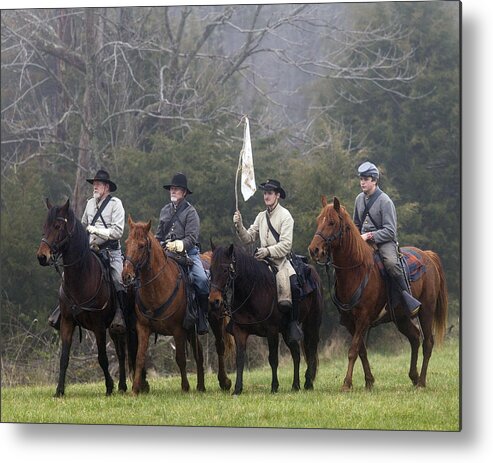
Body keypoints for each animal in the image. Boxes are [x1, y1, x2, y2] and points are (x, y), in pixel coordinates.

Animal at [37, 198, 129, 396]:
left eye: (57, 226)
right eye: (44, 225)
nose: (42, 256)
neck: (81, 277)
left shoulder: (99, 326)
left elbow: (102, 358)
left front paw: (109, 387)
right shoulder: (67, 322)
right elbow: (64, 357)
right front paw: (59, 390)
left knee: (122, 353)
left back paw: (123, 386)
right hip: (113, 329)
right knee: (120, 352)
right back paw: (122, 386)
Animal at [122, 218, 205, 396]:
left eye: (141, 245)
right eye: (127, 242)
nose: (126, 276)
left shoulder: (178, 330)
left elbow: (180, 358)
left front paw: (185, 387)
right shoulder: (143, 327)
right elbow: (140, 357)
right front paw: (135, 390)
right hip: (190, 330)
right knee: (199, 352)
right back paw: (201, 386)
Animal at [208, 243, 322, 396]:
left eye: (226, 270)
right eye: (211, 269)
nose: (214, 301)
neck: (253, 290)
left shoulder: (271, 331)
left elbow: (273, 359)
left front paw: (274, 387)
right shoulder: (240, 331)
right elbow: (240, 359)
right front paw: (237, 389)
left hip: (312, 323)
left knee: (311, 349)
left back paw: (308, 382)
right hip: (286, 331)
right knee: (296, 353)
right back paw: (295, 385)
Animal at [310, 196, 448, 392]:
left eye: (331, 222)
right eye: (318, 221)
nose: (314, 250)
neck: (356, 271)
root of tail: (427, 256)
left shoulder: (363, 319)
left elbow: (352, 350)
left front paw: (346, 384)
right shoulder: (350, 322)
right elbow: (361, 350)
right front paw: (369, 381)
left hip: (426, 311)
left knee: (427, 342)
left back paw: (421, 382)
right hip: (401, 317)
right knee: (414, 338)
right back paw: (413, 377)